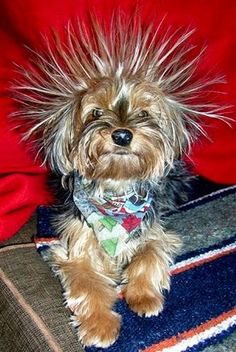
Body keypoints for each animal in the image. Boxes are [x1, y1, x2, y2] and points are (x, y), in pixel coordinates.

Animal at [14, 14, 225, 350]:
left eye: (143, 114)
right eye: (96, 112)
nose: (122, 135)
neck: (116, 192)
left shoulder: (155, 232)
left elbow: (148, 256)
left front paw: (144, 297)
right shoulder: (72, 247)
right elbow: (86, 281)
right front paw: (100, 326)